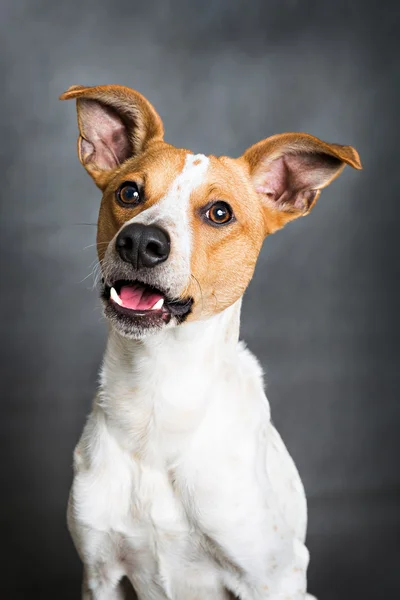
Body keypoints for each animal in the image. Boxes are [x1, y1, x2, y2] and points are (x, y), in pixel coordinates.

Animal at [60, 82, 362, 596]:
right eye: (128, 191)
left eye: (219, 212)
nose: (140, 242)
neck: (158, 396)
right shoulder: (99, 572)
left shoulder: (272, 576)